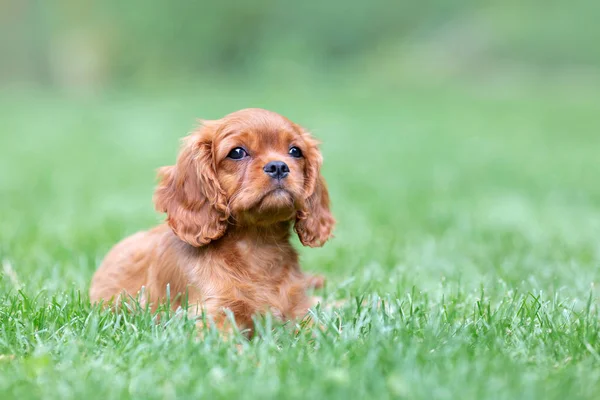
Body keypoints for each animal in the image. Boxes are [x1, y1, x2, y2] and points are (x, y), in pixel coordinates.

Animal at [89, 108, 336, 334]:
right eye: (237, 152)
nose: (279, 166)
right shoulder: (209, 317)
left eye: (295, 151)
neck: (258, 244)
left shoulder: (300, 311)